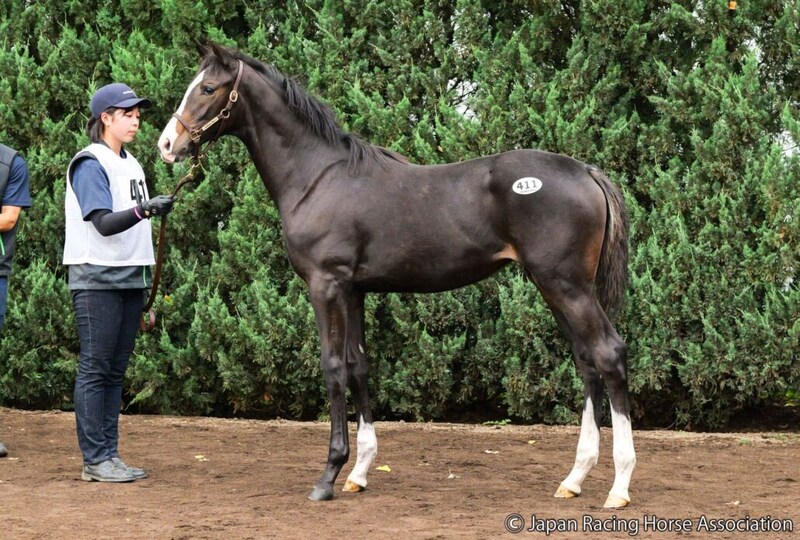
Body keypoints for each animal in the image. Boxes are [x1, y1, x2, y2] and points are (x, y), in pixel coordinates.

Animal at [157, 43, 635, 508]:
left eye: (208, 89)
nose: (167, 144)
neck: (317, 177)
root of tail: (587, 172)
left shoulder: (325, 286)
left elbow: (332, 366)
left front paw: (328, 476)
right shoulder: (354, 290)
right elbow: (359, 366)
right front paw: (359, 473)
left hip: (566, 286)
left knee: (608, 354)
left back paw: (618, 488)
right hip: (555, 287)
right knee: (587, 362)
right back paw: (574, 479)